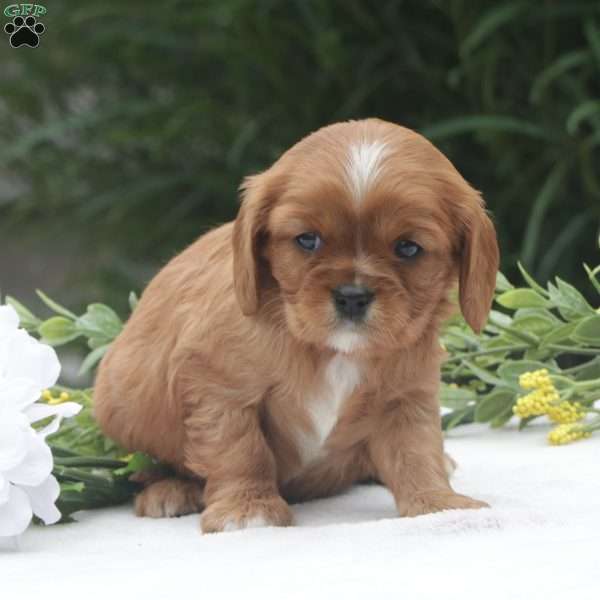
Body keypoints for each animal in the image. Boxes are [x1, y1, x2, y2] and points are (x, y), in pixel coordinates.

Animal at [94, 119, 496, 532]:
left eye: (408, 248)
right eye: (307, 240)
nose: (352, 295)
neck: (335, 351)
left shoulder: (405, 396)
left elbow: (416, 451)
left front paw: (439, 503)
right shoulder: (218, 387)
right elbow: (239, 449)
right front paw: (248, 508)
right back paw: (171, 489)